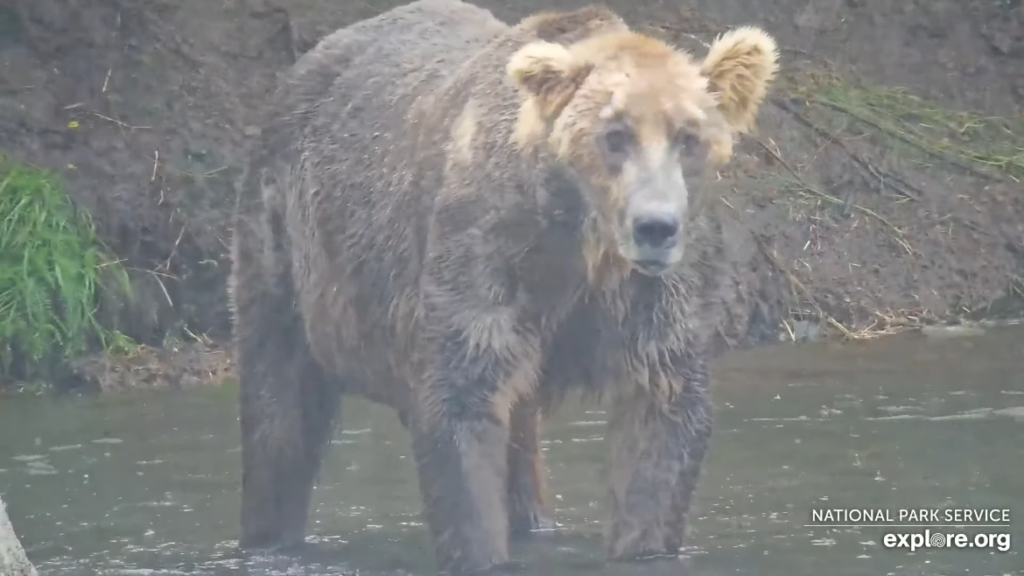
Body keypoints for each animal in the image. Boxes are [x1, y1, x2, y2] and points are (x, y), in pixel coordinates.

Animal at [228, 1, 778, 569]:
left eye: (688, 137)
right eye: (614, 135)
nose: (655, 227)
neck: (582, 245)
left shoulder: (652, 301)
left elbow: (661, 419)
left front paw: (643, 545)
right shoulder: (487, 258)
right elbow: (462, 405)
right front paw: (480, 549)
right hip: (290, 247)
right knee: (279, 410)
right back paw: (270, 532)